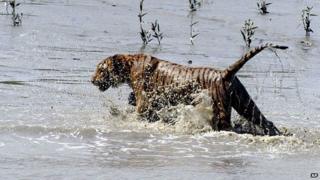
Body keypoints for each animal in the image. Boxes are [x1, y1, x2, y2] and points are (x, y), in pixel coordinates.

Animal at [91, 43, 288, 136]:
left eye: (100, 69)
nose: (91, 80)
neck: (129, 64)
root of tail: (225, 73)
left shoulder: (144, 101)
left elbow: (138, 113)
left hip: (223, 110)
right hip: (246, 104)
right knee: (267, 122)